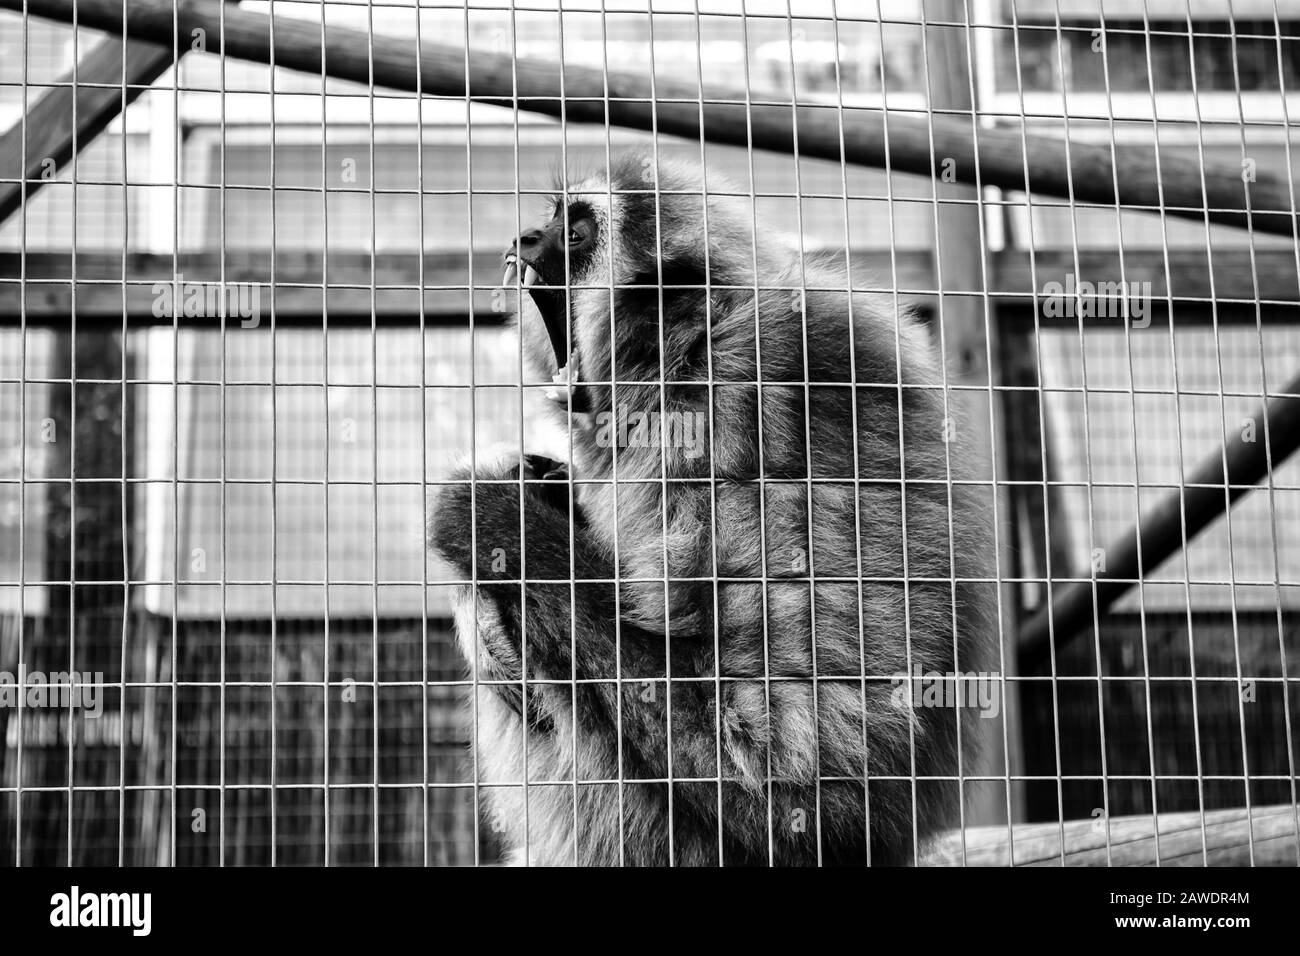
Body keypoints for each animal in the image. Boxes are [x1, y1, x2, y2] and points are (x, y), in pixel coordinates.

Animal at [428, 151, 993, 868]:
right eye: (551, 219)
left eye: (576, 233)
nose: (526, 238)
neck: (684, 351)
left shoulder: (747, 404)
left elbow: (797, 780)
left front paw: (495, 519)